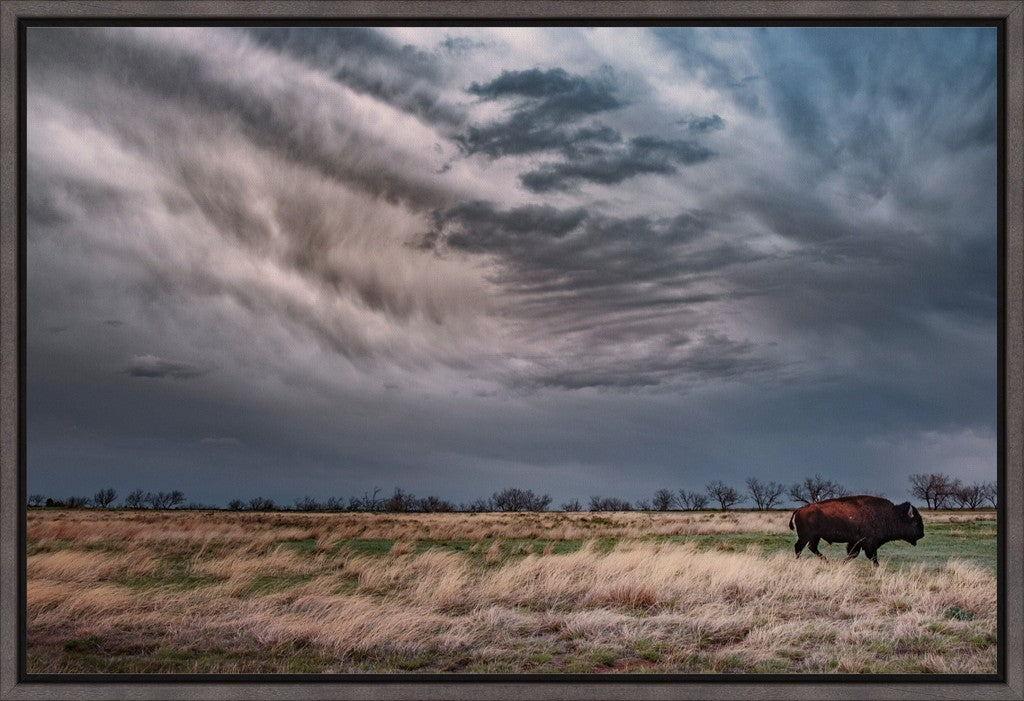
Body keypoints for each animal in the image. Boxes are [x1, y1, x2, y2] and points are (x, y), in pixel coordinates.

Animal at [786, 495, 925, 564]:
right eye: (916, 522)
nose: (922, 534)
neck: (891, 515)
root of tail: (800, 509)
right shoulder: (869, 544)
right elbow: (872, 557)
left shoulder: (856, 543)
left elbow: (853, 554)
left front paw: (842, 563)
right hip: (806, 536)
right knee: (799, 547)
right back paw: (798, 562)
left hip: (815, 537)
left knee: (811, 547)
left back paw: (826, 561)